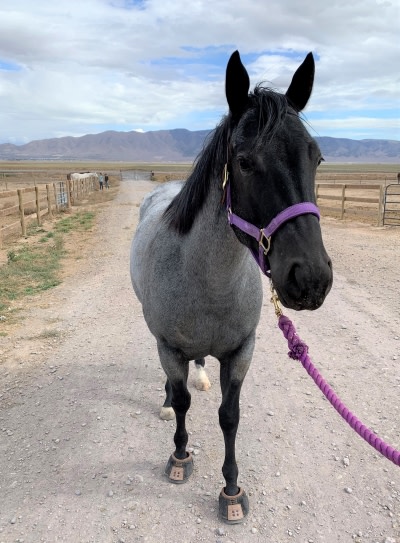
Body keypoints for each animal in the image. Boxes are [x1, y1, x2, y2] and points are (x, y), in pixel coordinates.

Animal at [130, 50, 332, 524]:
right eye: (243, 162)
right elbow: (183, 402)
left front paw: (232, 488)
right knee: (176, 390)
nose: (311, 278)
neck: (208, 280)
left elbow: (230, 416)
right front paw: (180, 457)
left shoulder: (241, 351)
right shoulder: (169, 347)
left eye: (316, 158)